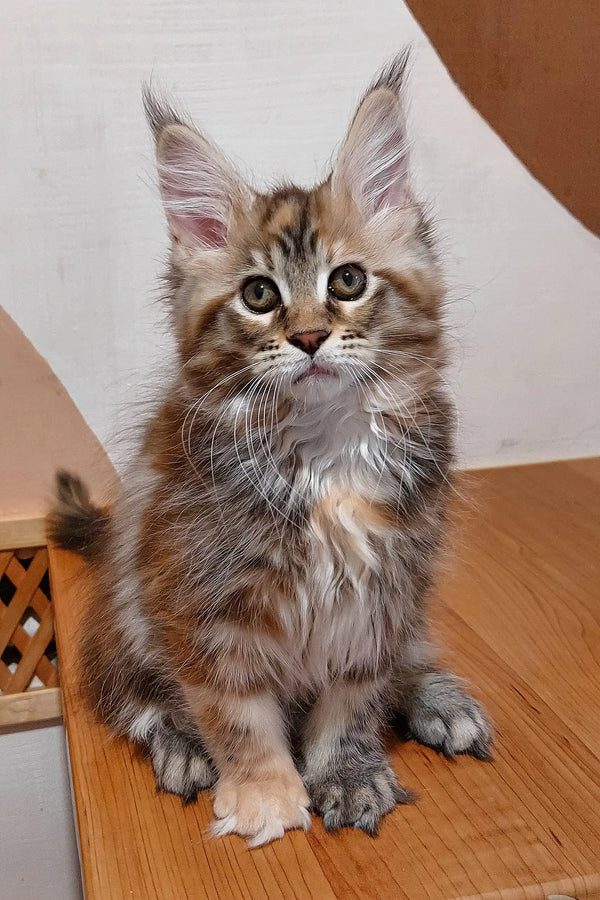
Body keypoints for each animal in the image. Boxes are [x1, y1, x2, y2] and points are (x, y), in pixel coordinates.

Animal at [50, 54, 492, 844]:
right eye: (259, 295)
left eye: (347, 281)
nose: (311, 336)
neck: (324, 455)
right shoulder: (199, 598)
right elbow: (234, 712)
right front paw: (263, 794)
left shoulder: (382, 594)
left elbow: (355, 700)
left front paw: (346, 771)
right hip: (125, 614)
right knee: (133, 696)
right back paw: (182, 748)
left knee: (409, 658)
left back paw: (438, 701)